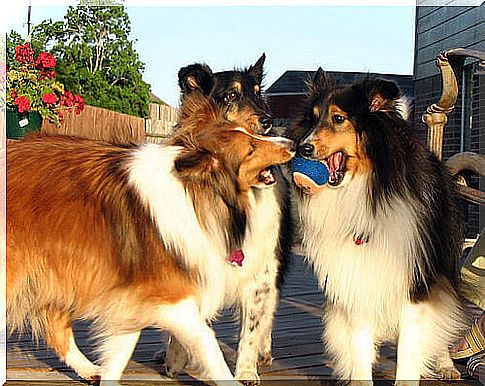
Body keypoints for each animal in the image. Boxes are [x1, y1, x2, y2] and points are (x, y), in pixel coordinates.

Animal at [5, 92, 294, 384]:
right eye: (250, 149)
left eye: (250, 133)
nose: (291, 144)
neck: (192, 194)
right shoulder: (171, 296)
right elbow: (208, 344)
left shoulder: (136, 294)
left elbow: (120, 353)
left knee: (56, 327)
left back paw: (89, 370)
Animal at [288, 69, 466, 382]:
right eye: (312, 118)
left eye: (338, 118)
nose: (303, 148)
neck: (364, 191)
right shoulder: (358, 279)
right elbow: (359, 347)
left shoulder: (415, 284)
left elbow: (409, 350)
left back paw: (446, 364)